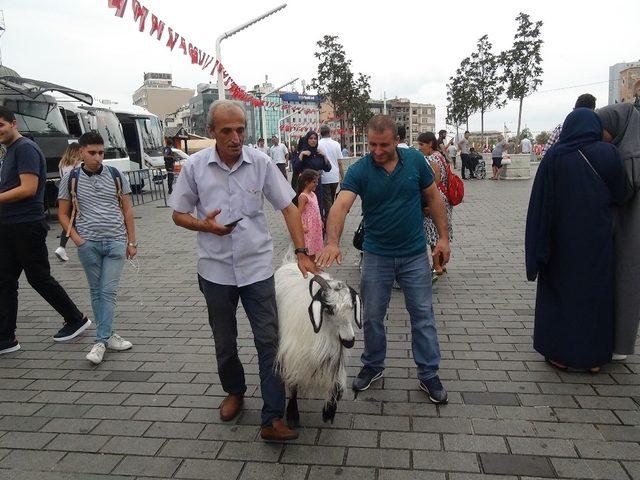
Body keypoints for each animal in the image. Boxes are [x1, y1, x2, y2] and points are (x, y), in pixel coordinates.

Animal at [274, 262, 360, 424]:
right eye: (330, 308)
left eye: (352, 306)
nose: (349, 342)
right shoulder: (293, 355)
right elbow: (293, 382)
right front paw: (292, 414)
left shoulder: (335, 354)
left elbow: (336, 384)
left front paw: (329, 411)